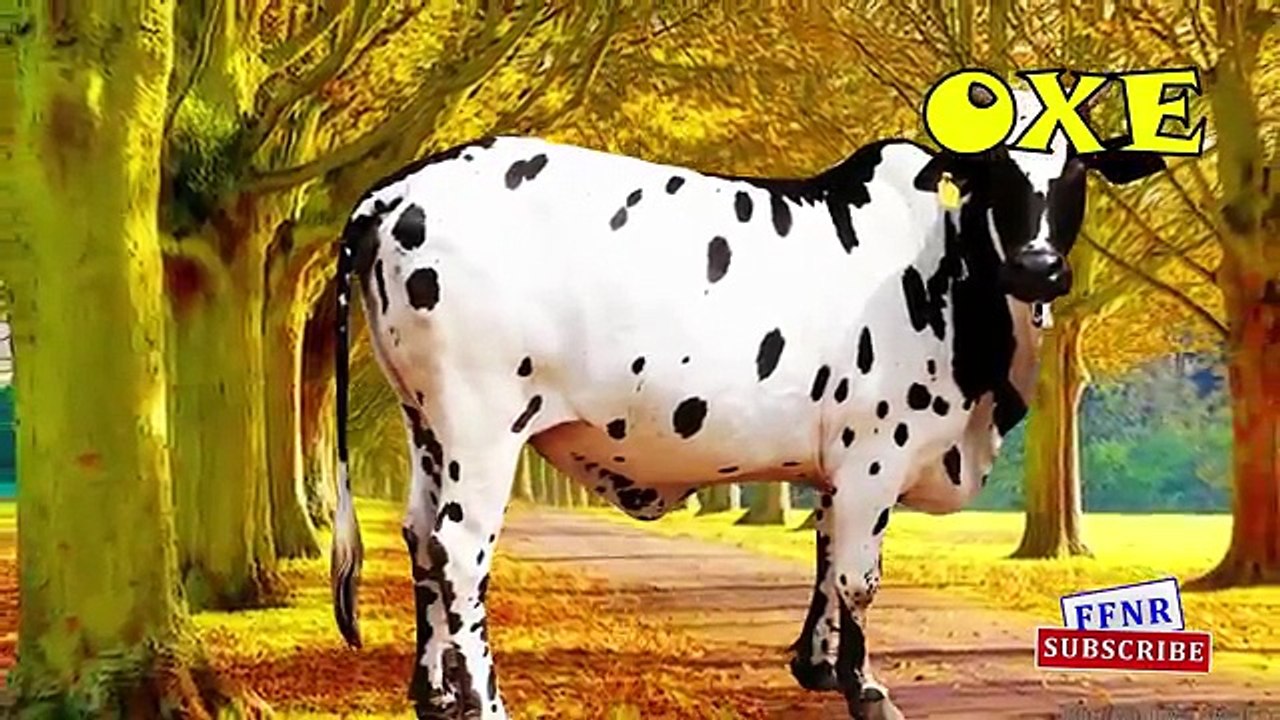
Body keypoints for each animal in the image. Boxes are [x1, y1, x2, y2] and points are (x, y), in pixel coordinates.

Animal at [329, 84, 1166, 720]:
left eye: (1077, 170)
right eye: (993, 168)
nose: (1039, 268)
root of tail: (394, 193)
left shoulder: (836, 466)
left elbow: (825, 556)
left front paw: (816, 666)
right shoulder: (875, 454)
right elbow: (859, 575)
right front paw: (866, 689)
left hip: (426, 423)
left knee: (419, 537)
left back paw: (433, 696)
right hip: (481, 423)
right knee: (459, 548)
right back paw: (485, 703)